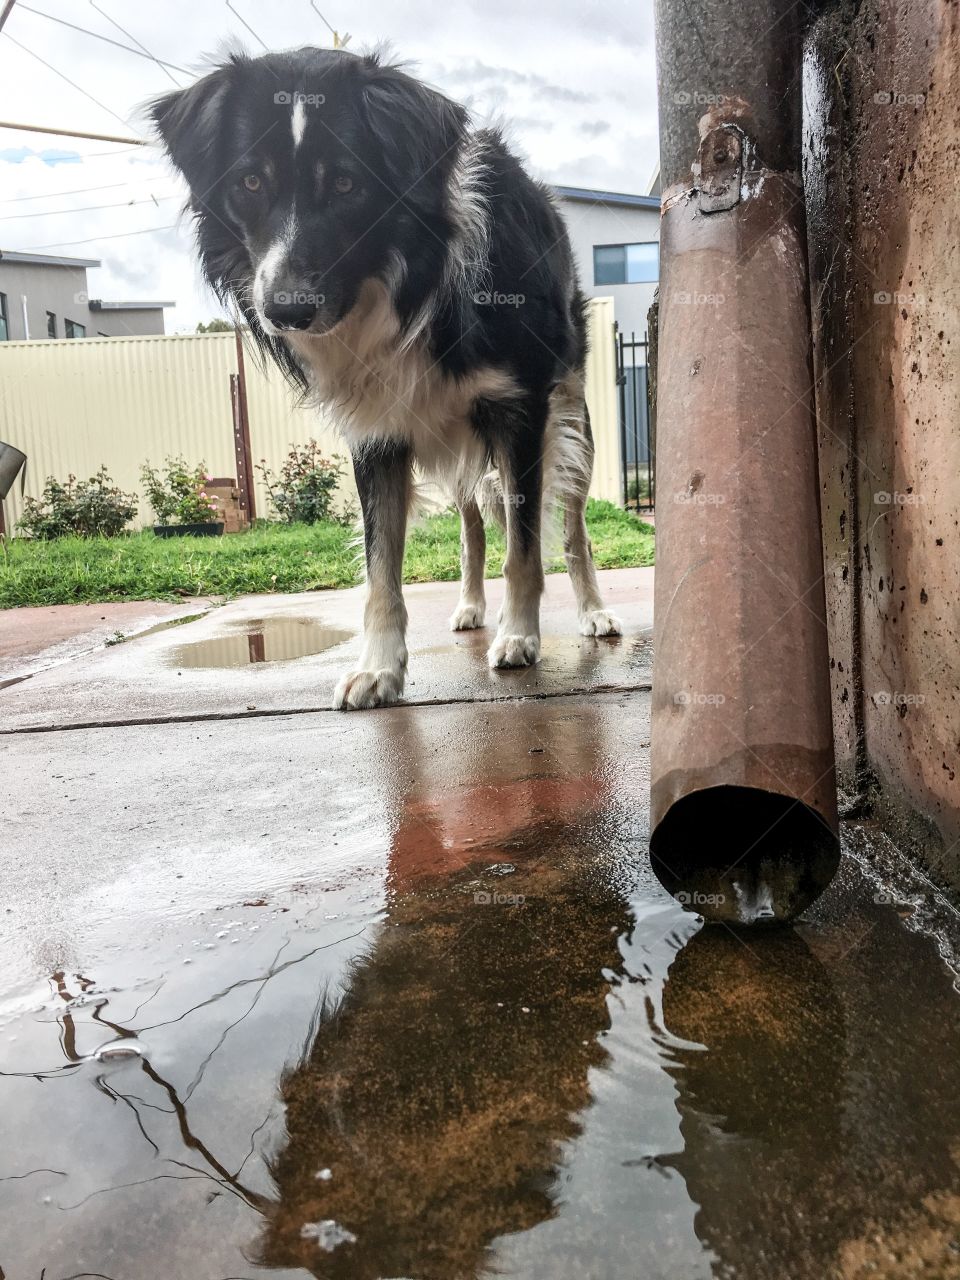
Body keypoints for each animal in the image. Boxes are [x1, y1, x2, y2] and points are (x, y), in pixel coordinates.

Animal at [152, 47, 624, 711]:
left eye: (347, 183)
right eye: (250, 183)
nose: (285, 310)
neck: (407, 281)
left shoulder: (523, 411)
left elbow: (526, 546)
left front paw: (520, 638)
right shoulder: (378, 432)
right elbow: (382, 568)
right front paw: (377, 668)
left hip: (573, 413)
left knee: (573, 525)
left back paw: (592, 613)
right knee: (472, 525)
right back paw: (471, 606)